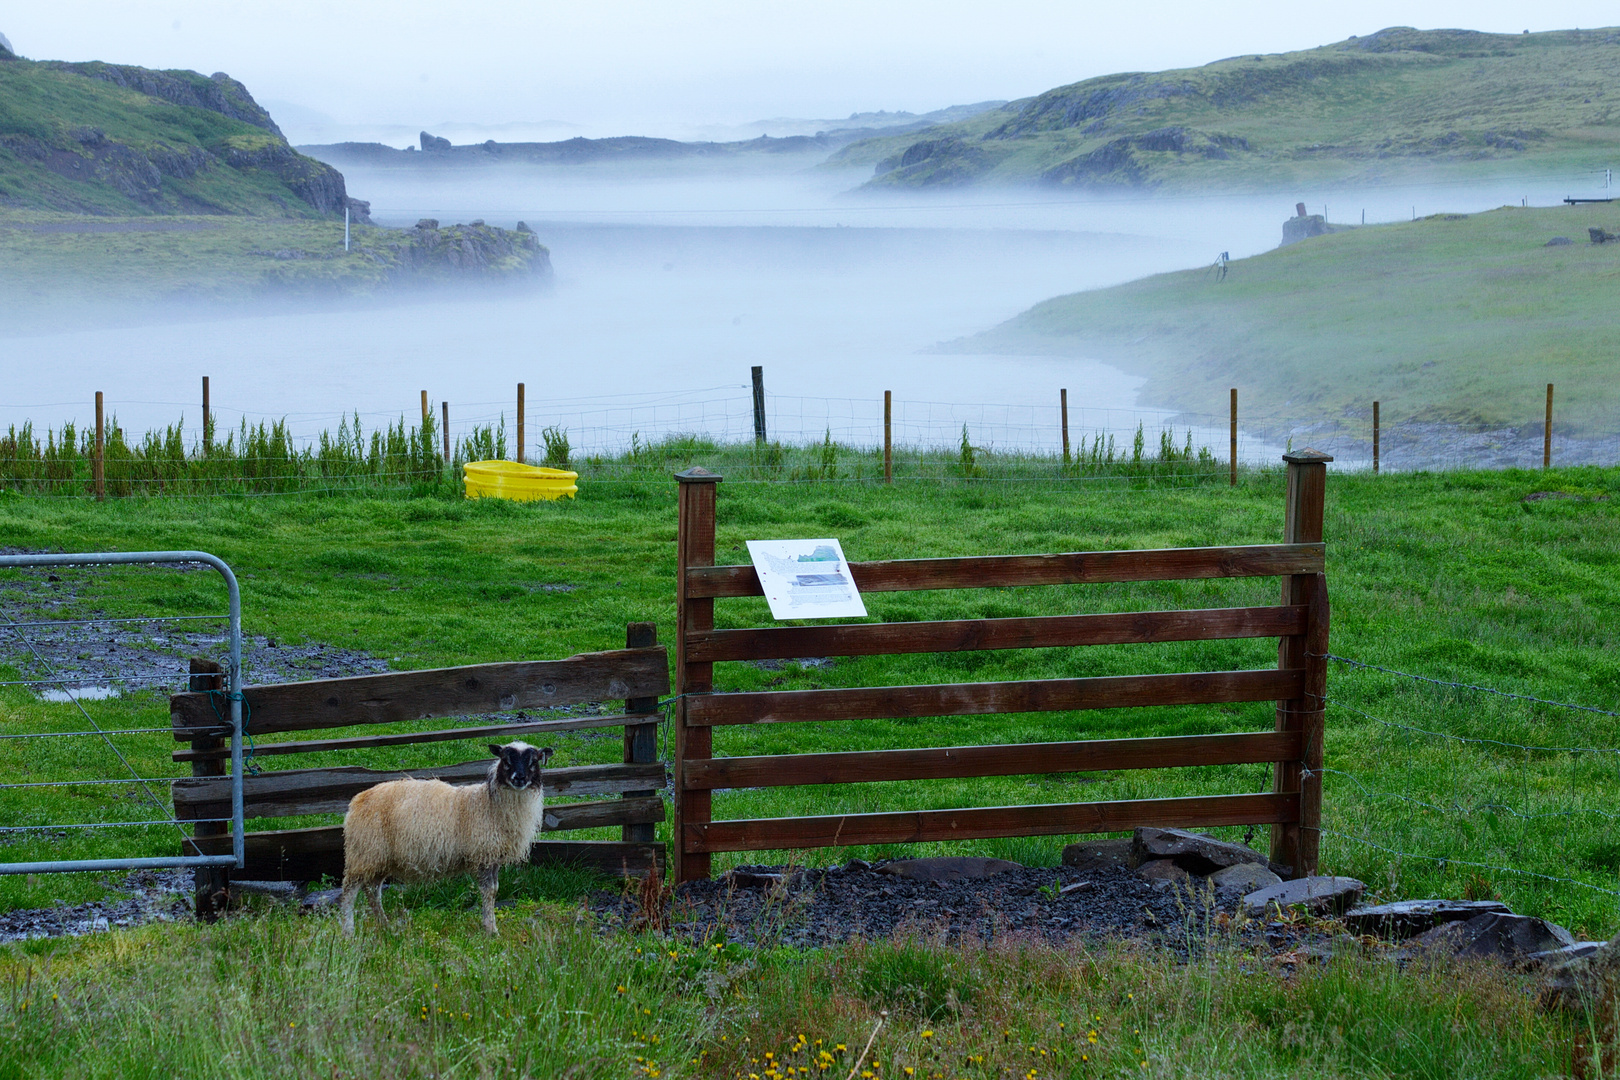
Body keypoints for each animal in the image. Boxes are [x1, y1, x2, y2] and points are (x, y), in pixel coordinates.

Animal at [338, 738, 554, 932]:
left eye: (533, 762)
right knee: (349, 890)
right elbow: (489, 891)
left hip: (378, 857)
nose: (519, 778)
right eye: (506, 760)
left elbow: (494, 889)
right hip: (364, 851)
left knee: (372, 891)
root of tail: (357, 800)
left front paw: (490, 927)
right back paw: (348, 932)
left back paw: (385, 926)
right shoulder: (483, 854)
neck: (488, 804)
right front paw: (491, 930)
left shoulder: (492, 856)